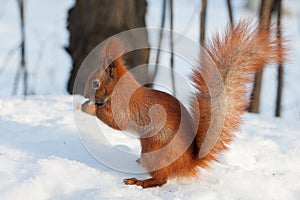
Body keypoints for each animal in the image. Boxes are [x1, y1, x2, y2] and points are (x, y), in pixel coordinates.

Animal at [81, 21, 288, 188]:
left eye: (95, 83)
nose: (84, 94)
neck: (119, 89)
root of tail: (189, 164)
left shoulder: (124, 108)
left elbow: (114, 120)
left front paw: (87, 107)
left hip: (154, 149)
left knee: (161, 180)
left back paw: (140, 181)